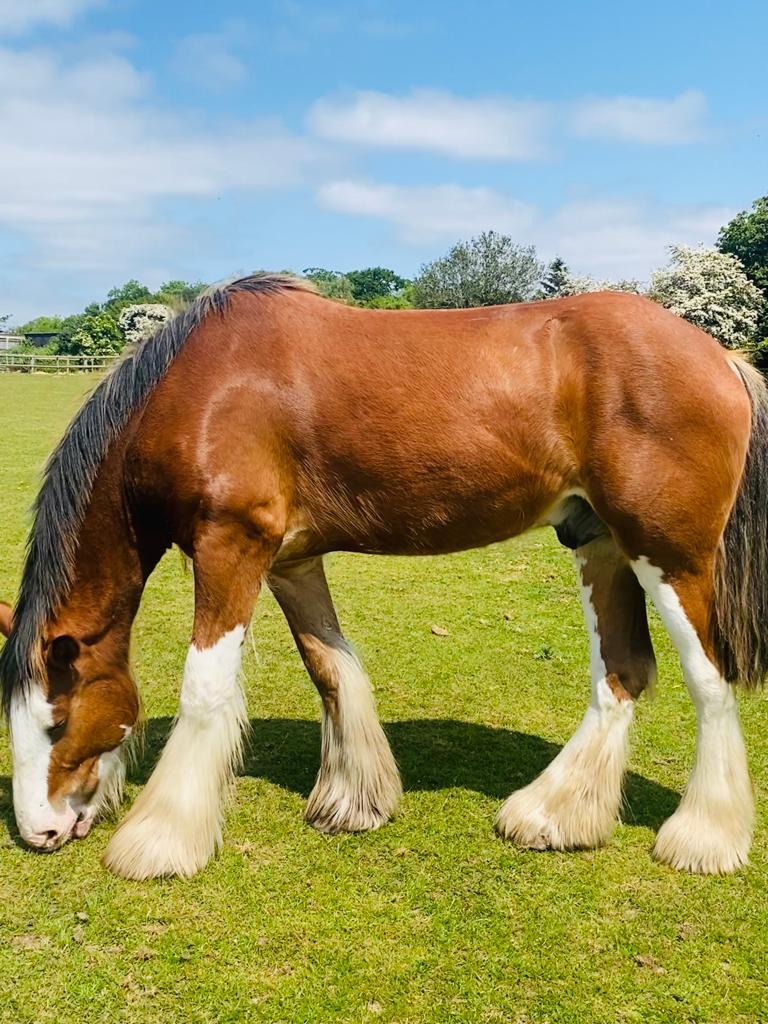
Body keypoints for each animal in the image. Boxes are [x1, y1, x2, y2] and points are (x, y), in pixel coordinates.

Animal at [1, 273, 766, 880]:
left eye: (56, 720)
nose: (38, 830)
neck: (202, 389)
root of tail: (720, 357)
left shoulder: (231, 547)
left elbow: (205, 690)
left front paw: (159, 841)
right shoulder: (290, 560)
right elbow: (330, 668)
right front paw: (354, 801)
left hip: (669, 555)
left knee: (709, 679)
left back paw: (704, 837)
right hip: (600, 543)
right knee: (622, 674)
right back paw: (553, 816)